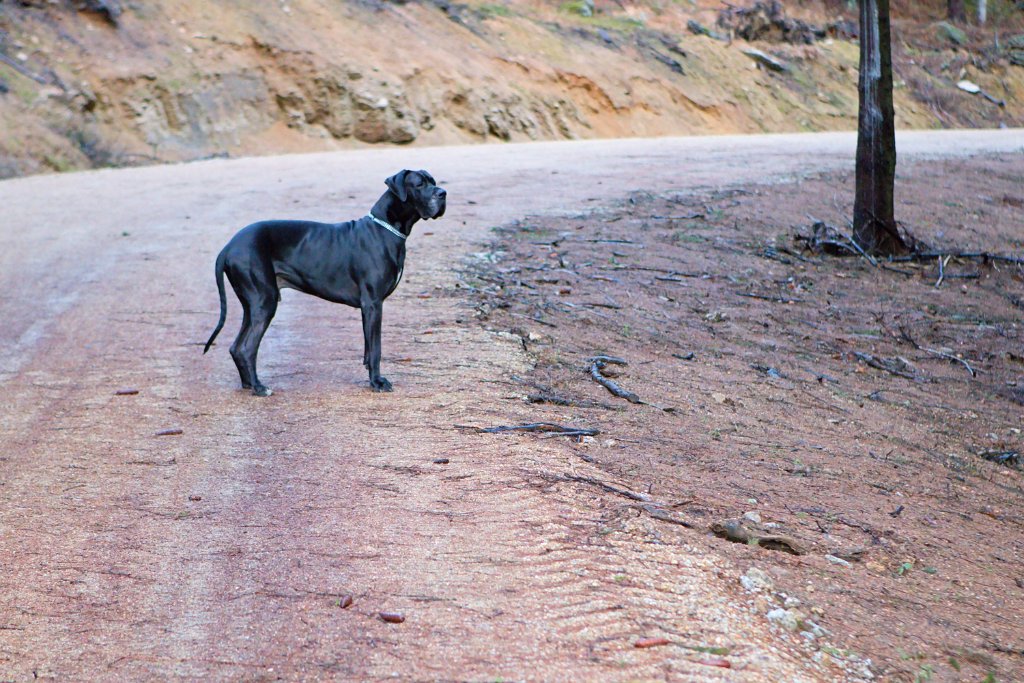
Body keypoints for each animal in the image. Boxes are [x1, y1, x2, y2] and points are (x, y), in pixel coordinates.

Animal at [204, 169, 448, 395]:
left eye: (434, 181)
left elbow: (368, 348)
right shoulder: (373, 303)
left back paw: (248, 384)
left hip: (252, 304)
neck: (384, 228)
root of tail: (228, 247)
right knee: (247, 347)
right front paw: (377, 382)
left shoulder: (368, 307)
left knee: (236, 347)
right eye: (419, 184)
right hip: (265, 301)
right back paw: (259, 387)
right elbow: (376, 348)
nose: (443, 193)